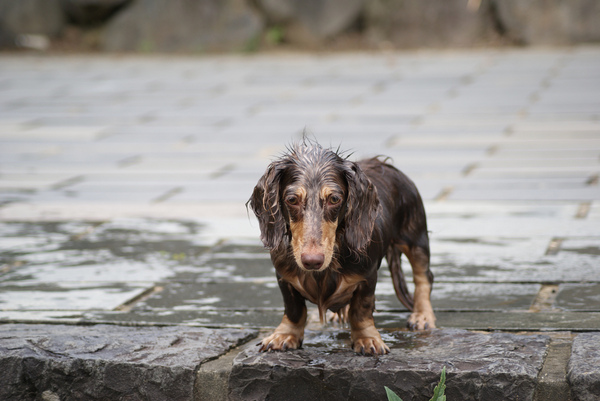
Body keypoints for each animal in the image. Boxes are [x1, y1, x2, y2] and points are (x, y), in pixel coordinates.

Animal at [248, 142, 436, 354]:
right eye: (292, 200)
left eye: (334, 199)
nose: (312, 261)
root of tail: (383, 162)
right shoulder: (284, 278)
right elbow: (294, 309)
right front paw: (285, 335)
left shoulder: (367, 277)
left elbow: (361, 310)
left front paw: (367, 339)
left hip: (415, 238)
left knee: (423, 277)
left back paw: (422, 316)